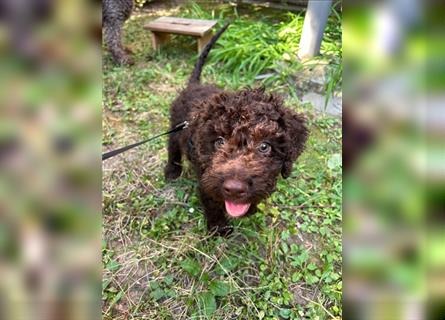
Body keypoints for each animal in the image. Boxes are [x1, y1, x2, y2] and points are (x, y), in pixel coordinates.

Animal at [165, 21, 306, 232]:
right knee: (172, 147)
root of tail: (193, 85)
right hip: (175, 126)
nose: (234, 189)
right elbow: (212, 202)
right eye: (219, 142)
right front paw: (219, 229)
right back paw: (172, 172)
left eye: (264, 146)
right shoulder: (206, 180)